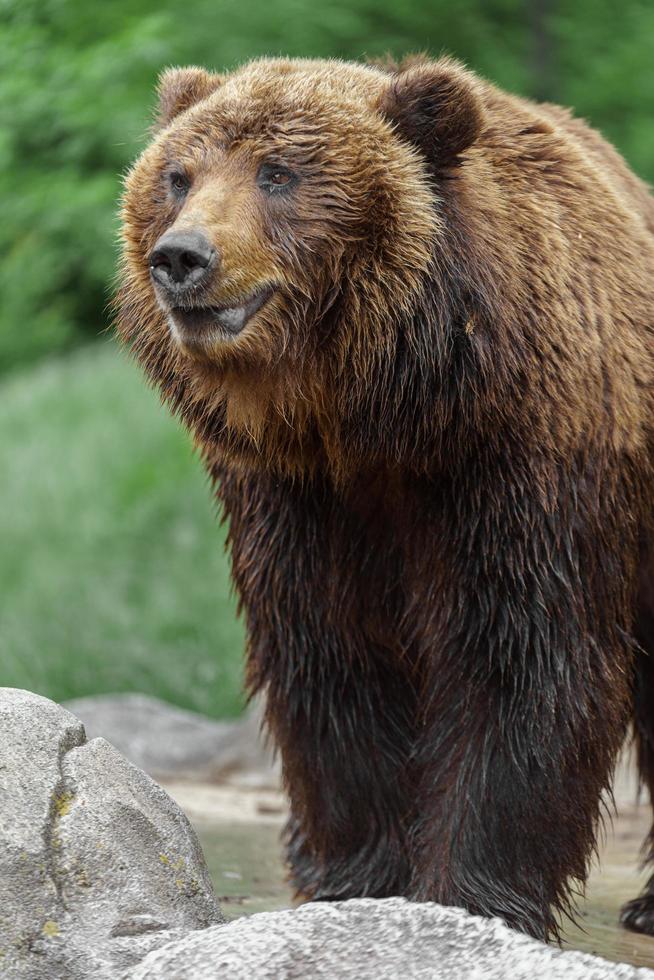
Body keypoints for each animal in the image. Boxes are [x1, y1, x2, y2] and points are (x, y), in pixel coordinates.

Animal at [115, 55, 654, 940]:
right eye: (177, 175)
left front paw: (471, 892)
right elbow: (333, 655)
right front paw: (359, 875)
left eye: (278, 173)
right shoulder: (294, 495)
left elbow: (517, 657)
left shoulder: (517, 465)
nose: (182, 257)